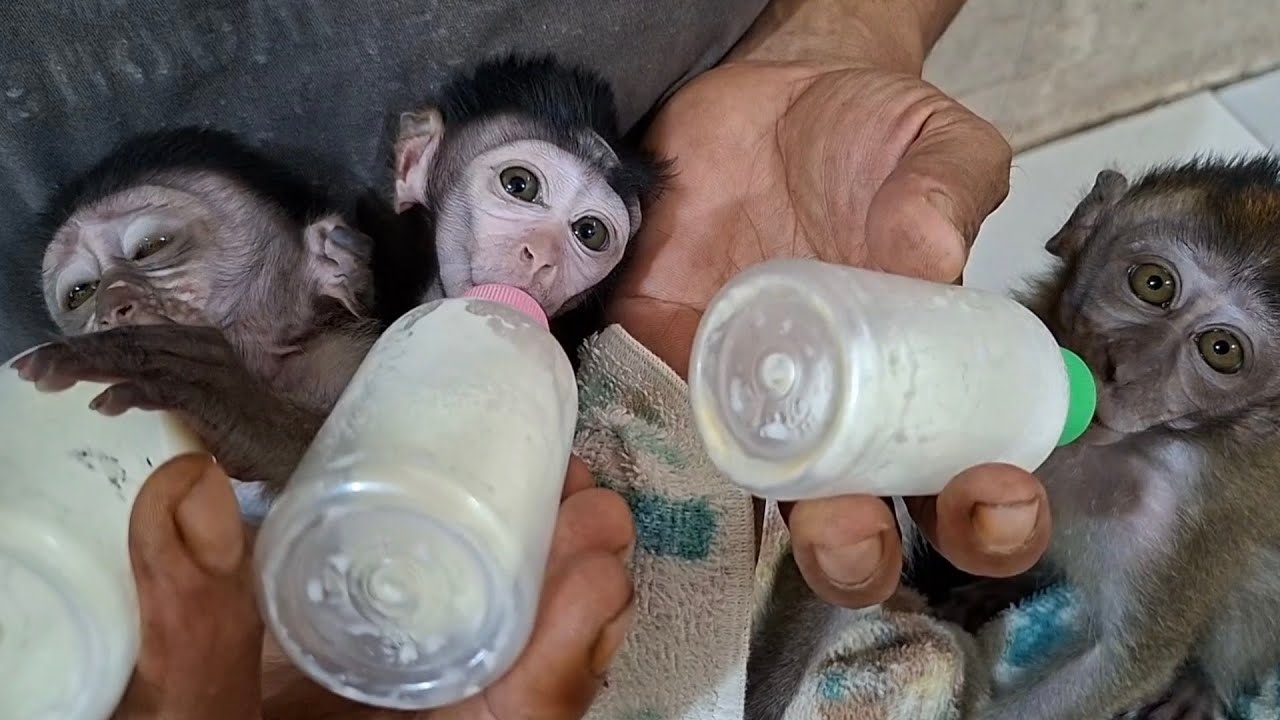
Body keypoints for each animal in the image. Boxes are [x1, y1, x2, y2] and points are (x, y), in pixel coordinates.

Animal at [957, 155, 1280, 720]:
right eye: (1153, 284)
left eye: (1222, 350)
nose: (1127, 369)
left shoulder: (1180, 519)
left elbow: (1125, 664)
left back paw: (1204, 684)